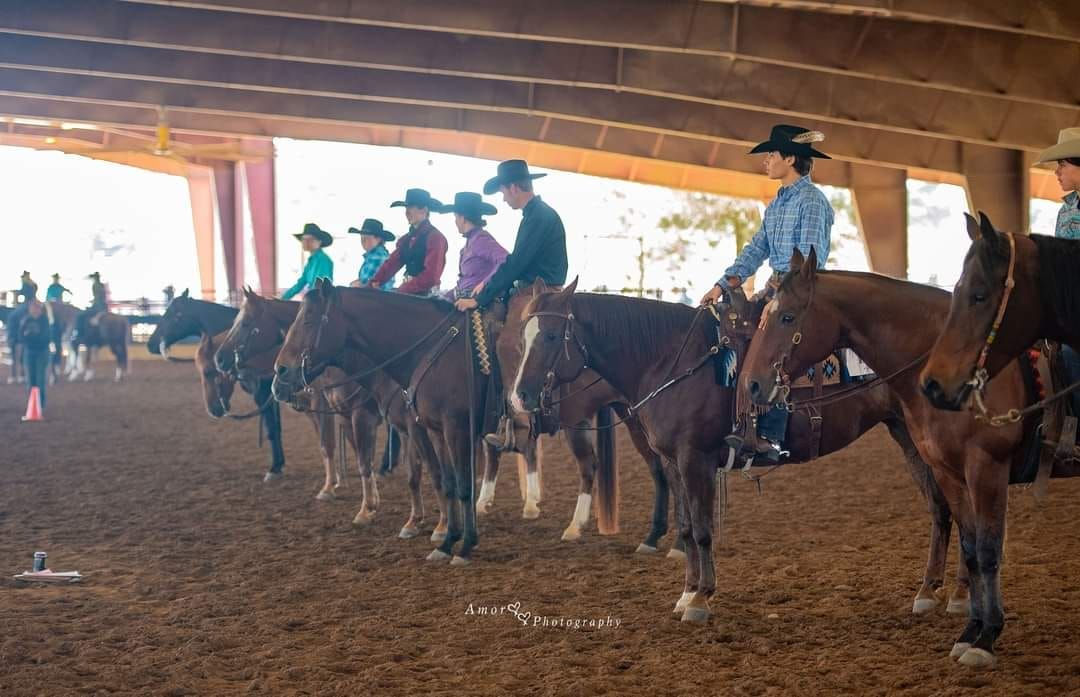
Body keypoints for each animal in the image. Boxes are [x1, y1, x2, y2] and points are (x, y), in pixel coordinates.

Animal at [217, 291, 444, 540]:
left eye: (245, 323)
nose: (220, 359)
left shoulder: (357, 415)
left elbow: (342, 451)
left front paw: (355, 504)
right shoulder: (342, 415)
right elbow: (357, 457)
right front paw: (371, 503)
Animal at [514, 276, 972, 626]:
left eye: (551, 335)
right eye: (523, 336)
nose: (520, 396)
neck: (668, 362)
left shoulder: (695, 459)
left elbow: (702, 529)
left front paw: (701, 600)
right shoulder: (673, 462)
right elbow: (686, 528)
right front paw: (686, 594)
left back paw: (957, 595)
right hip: (905, 434)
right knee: (940, 508)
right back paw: (930, 591)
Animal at [743, 249, 1080, 669]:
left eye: (787, 316)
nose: (751, 383)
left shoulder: (987, 469)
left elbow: (989, 551)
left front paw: (987, 638)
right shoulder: (949, 471)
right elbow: (971, 547)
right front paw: (970, 632)